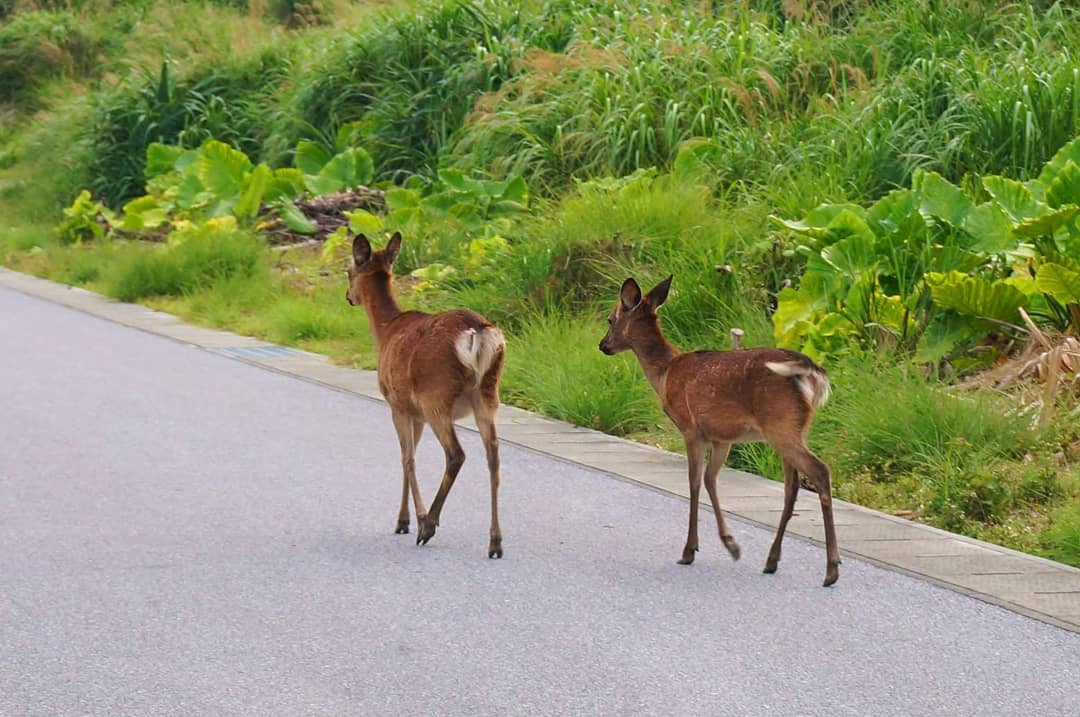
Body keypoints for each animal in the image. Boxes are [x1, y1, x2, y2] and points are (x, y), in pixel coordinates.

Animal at [345, 232, 505, 557]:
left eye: (348, 271)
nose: (348, 296)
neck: (385, 331)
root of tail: (477, 332)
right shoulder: (413, 410)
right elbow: (411, 455)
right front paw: (403, 520)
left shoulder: (396, 402)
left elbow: (407, 458)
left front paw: (411, 519)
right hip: (487, 394)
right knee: (493, 456)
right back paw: (495, 541)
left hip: (437, 396)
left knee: (456, 454)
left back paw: (429, 524)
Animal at [600, 276, 842, 587]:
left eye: (610, 318)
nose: (602, 345)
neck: (665, 373)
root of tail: (808, 370)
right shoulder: (721, 437)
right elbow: (710, 479)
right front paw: (731, 544)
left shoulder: (690, 428)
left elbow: (693, 482)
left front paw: (689, 550)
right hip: (795, 428)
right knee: (792, 487)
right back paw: (772, 560)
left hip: (781, 424)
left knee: (820, 471)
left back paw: (831, 569)